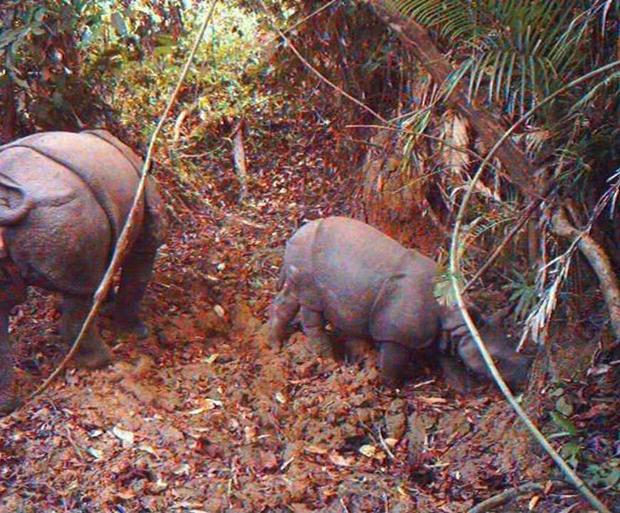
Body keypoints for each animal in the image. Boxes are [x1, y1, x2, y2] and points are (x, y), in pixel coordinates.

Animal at [0, 130, 167, 414]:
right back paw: (103, 362)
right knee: (83, 294)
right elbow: (135, 277)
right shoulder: (145, 229)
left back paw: (8, 406)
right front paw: (136, 333)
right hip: (65, 214)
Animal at [268, 216, 532, 388]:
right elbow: (393, 363)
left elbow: (450, 364)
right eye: (494, 360)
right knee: (311, 305)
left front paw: (467, 391)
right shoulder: (396, 336)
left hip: (303, 257)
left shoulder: (439, 334)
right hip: (308, 263)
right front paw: (391, 387)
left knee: (292, 296)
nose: (526, 372)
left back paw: (273, 345)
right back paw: (328, 361)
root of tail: (294, 235)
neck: (458, 321)